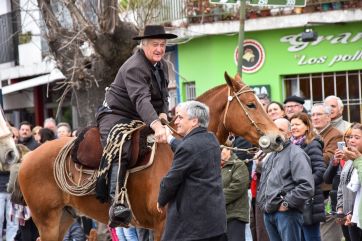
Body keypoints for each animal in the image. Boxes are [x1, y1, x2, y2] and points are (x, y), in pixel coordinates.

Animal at [17, 72, 282, 241]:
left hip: (63, 218)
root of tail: (27, 158)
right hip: (48, 221)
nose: (279, 138)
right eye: (250, 104)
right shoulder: (162, 225)